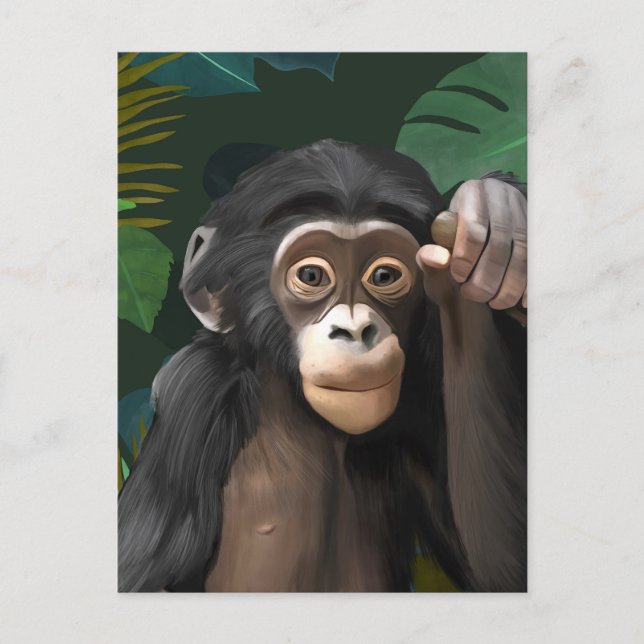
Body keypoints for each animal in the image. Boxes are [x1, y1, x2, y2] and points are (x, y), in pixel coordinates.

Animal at [118, 139, 527, 593]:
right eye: (312, 275)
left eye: (384, 276)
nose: (355, 329)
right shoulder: (194, 392)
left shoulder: (421, 397)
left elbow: (497, 563)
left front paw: (493, 220)